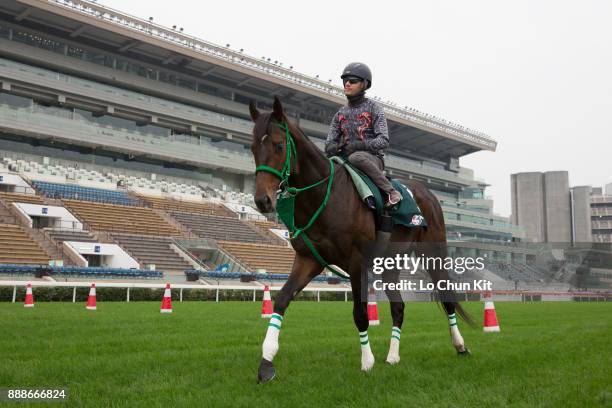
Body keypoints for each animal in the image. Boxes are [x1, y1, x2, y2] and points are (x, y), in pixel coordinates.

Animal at [249, 95, 474, 382]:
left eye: (278, 145)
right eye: (253, 147)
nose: (262, 200)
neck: (326, 196)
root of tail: (428, 194)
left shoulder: (356, 262)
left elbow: (360, 313)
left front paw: (367, 362)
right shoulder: (309, 259)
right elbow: (282, 300)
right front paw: (266, 363)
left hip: (433, 254)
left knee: (447, 298)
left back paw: (460, 345)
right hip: (391, 264)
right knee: (399, 308)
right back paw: (393, 356)